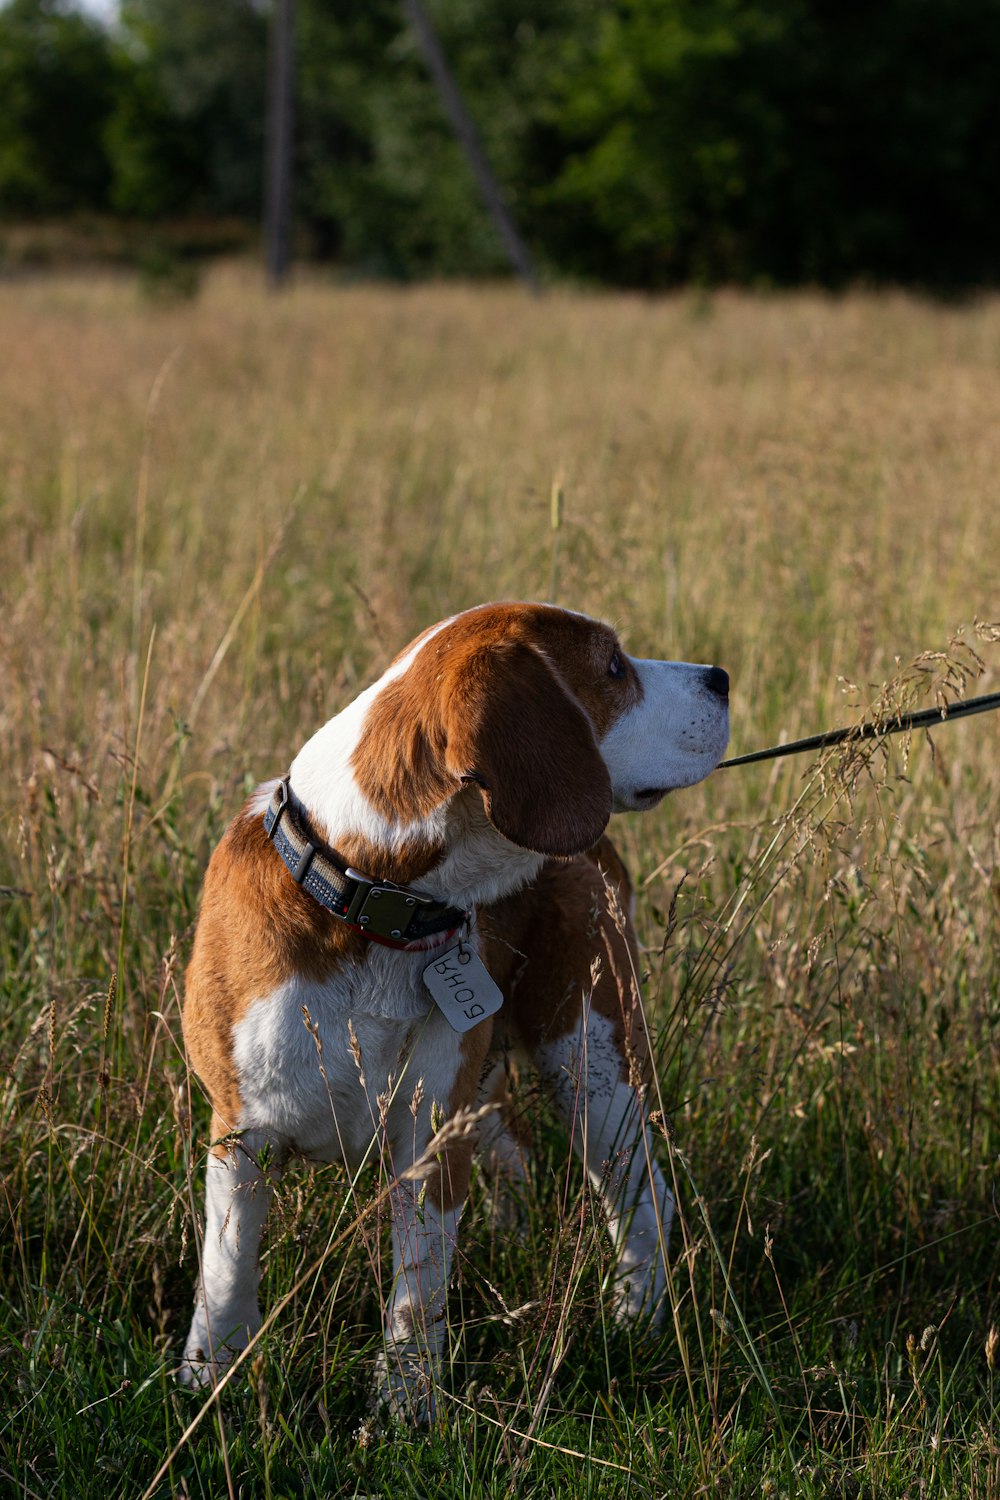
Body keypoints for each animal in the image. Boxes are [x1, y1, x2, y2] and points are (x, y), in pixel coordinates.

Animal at [179, 600, 728, 1416]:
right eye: (612, 667)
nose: (721, 677)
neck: (368, 894)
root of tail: (592, 850)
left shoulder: (432, 1136)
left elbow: (419, 1286)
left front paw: (406, 1406)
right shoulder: (241, 1134)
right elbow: (227, 1268)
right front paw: (206, 1379)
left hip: (593, 1061)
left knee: (642, 1196)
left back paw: (636, 1317)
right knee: (521, 1152)